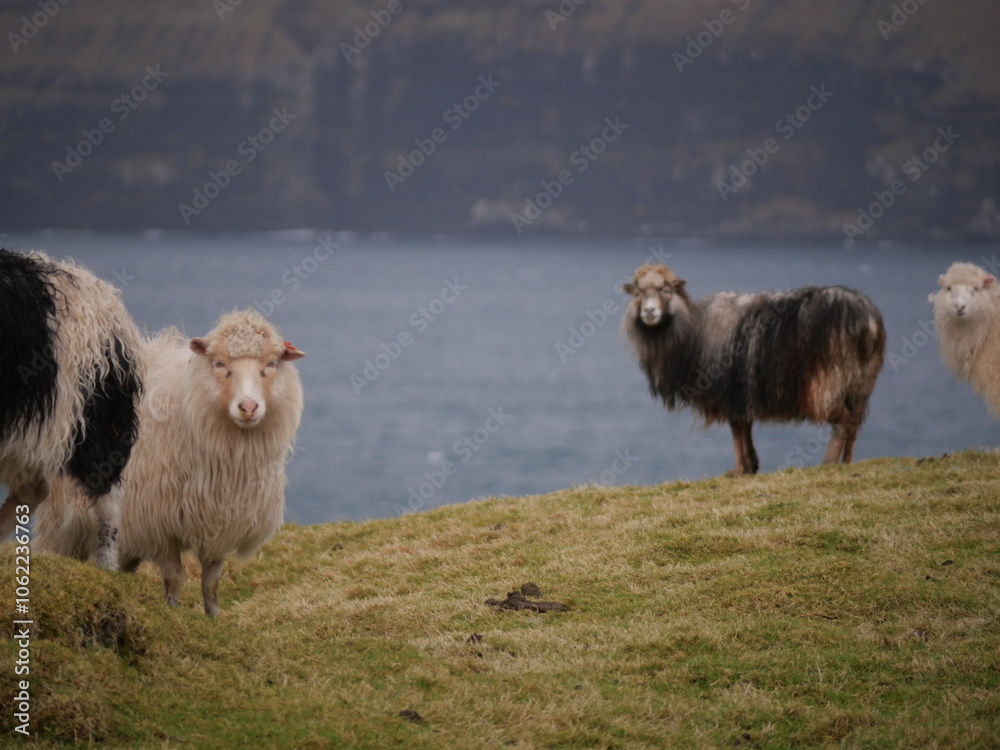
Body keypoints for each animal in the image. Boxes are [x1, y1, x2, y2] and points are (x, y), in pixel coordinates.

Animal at [34, 309, 305, 616]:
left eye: (271, 364)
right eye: (219, 363)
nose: (248, 407)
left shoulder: (222, 522)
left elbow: (211, 580)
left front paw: (213, 616)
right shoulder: (159, 522)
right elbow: (173, 576)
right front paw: (172, 612)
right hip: (65, 516)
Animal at [621, 264, 886, 476]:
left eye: (666, 290)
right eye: (638, 293)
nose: (649, 312)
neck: (692, 333)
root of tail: (868, 323)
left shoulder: (728, 391)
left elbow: (737, 429)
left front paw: (740, 470)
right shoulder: (740, 392)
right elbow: (744, 426)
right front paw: (750, 466)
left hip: (829, 382)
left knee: (842, 421)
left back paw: (828, 463)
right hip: (861, 382)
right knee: (854, 422)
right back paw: (847, 463)